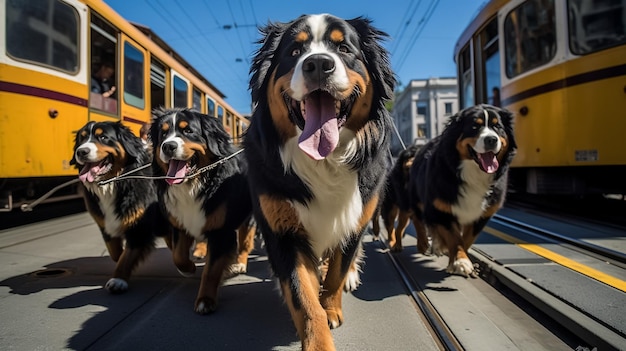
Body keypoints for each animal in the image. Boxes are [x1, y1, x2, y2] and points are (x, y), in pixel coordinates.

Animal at [70, 121, 167, 294]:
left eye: (103, 137)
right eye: (81, 139)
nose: (81, 151)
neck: (113, 183)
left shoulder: (139, 227)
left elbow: (127, 257)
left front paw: (118, 280)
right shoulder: (105, 223)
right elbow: (116, 252)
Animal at [149, 108, 251, 316]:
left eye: (188, 131)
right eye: (163, 133)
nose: (168, 146)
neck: (195, 183)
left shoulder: (221, 232)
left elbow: (211, 271)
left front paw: (205, 300)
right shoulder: (181, 223)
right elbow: (178, 255)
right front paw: (188, 268)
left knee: (245, 239)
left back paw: (240, 263)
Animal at [243, 14, 392, 351]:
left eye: (344, 48)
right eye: (295, 52)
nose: (319, 64)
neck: (324, 162)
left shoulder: (356, 218)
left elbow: (337, 271)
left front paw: (332, 307)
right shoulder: (283, 232)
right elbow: (304, 297)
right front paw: (318, 340)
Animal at [408, 104, 516, 278]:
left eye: (498, 127)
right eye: (474, 127)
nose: (491, 139)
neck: (473, 174)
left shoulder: (482, 214)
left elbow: (466, 239)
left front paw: (456, 260)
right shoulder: (441, 207)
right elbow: (454, 238)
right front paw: (460, 262)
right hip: (417, 197)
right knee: (418, 219)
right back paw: (424, 243)